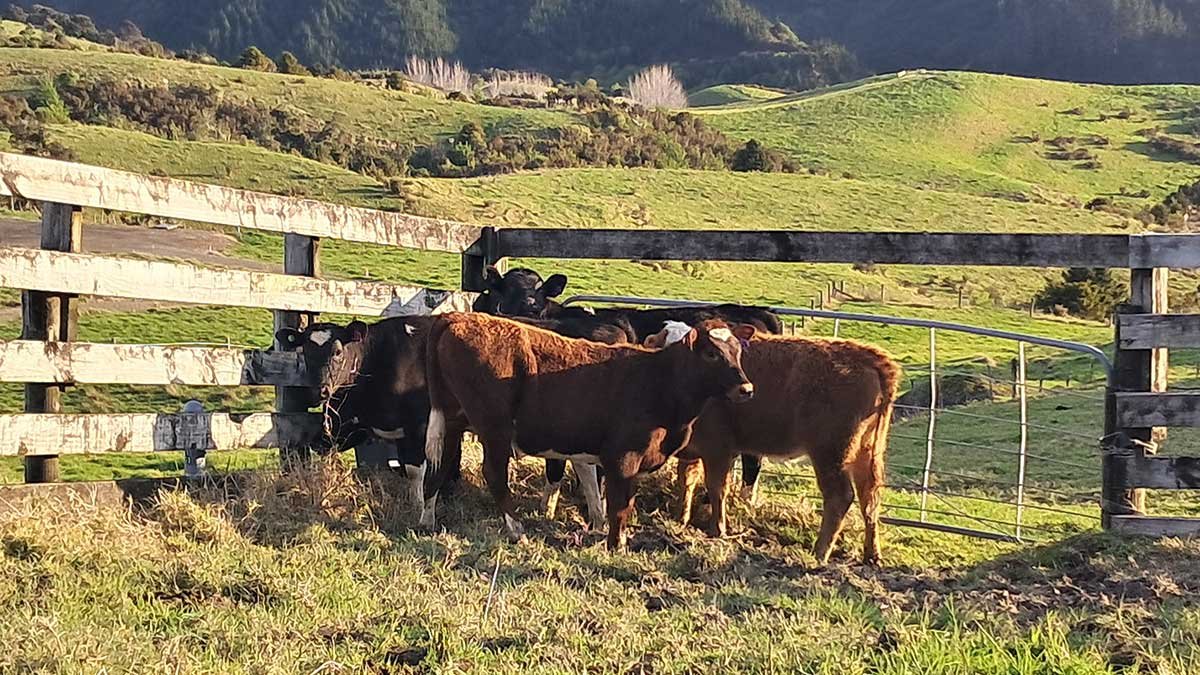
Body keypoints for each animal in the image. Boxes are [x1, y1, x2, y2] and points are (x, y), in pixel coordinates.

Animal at [427, 312, 753, 550]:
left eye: (737, 351)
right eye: (711, 353)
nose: (746, 389)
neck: (658, 379)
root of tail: (457, 317)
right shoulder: (622, 459)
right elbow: (618, 506)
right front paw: (615, 546)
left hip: (453, 422)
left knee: (440, 466)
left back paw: (426, 517)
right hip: (494, 428)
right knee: (494, 474)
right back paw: (516, 529)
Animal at [667, 331, 902, 562]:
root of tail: (869, 357)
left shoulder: (718, 449)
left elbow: (716, 488)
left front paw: (717, 530)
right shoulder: (694, 450)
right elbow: (686, 479)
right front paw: (681, 519)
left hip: (830, 453)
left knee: (840, 496)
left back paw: (819, 553)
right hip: (867, 451)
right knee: (869, 497)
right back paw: (872, 555)